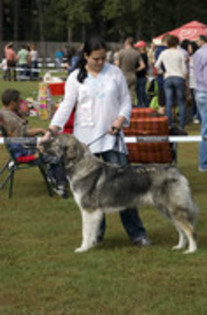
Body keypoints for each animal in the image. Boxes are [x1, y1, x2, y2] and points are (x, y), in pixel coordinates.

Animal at [43, 133, 199, 254]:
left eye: (55, 141)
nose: (41, 143)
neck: (80, 165)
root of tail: (176, 171)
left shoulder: (89, 211)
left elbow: (85, 232)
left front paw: (83, 248)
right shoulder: (93, 213)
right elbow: (92, 231)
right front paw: (91, 245)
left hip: (173, 210)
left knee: (190, 229)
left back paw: (191, 250)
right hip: (167, 211)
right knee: (181, 230)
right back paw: (179, 247)